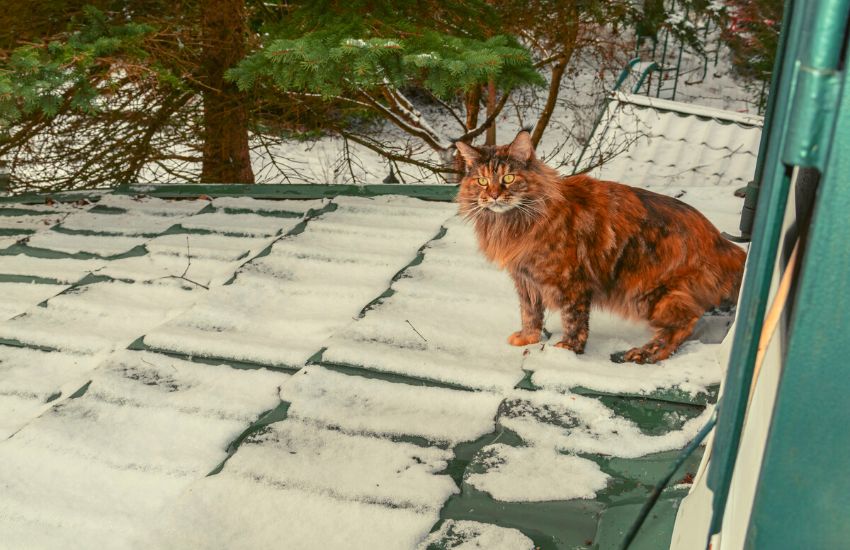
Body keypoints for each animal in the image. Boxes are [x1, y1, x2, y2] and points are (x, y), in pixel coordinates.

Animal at [458, 132, 744, 366]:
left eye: (508, 177)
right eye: (482, 180)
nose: (494, 195)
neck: (513, 223)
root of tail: (722, 242)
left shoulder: (571, 282)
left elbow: (574, 322)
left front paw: (566, 351)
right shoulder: (526, 281)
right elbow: (530, 314)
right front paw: (528, 338)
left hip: (648, 293)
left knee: (686, 322)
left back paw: (646, 353)